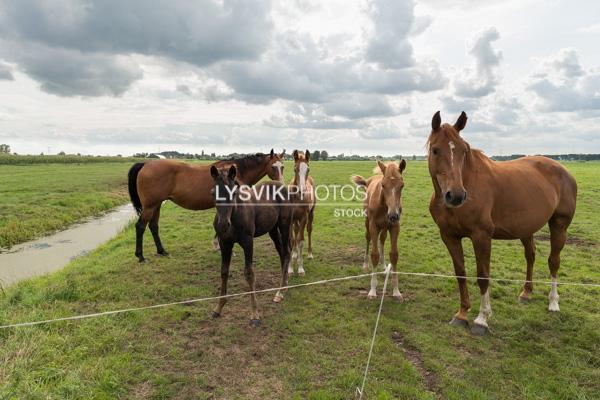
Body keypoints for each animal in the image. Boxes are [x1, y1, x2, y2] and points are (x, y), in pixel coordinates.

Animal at [127, 150, 286, 262]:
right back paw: (140, 256)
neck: (236, 172)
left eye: (282, 166)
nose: (280, 186)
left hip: (157, 205)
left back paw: (162, 251)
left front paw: (217, 245)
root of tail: (145, 164)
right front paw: (220, 246)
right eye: (273, 166)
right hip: (149, 206)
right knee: (140, 226)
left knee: (153, 226)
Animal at [352, 159, 408, 300]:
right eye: (383, 185)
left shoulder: (395, 226)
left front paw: (396, 291)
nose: (393, 215)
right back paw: (365, 265)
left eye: (402, 185)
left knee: (382, 240)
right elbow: (374, 254)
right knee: (368, 239)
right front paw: (372, 290)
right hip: (368, 223)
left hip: (385, 227)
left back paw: (383, 266)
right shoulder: (373, 225)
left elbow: (394, 254)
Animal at [426, 111, 576, 336]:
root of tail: (564, 171)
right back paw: (526, 293)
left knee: (553, 261)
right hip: (526, 229)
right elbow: (460, 273)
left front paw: (481, 319)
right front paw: (462, 314)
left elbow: (483, 276)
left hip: (559, 226)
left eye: (463, 151)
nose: (457, 196)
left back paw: (553, 303)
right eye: (435, 150)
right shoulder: (449, 236)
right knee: (530, 255)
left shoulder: (481, 237)